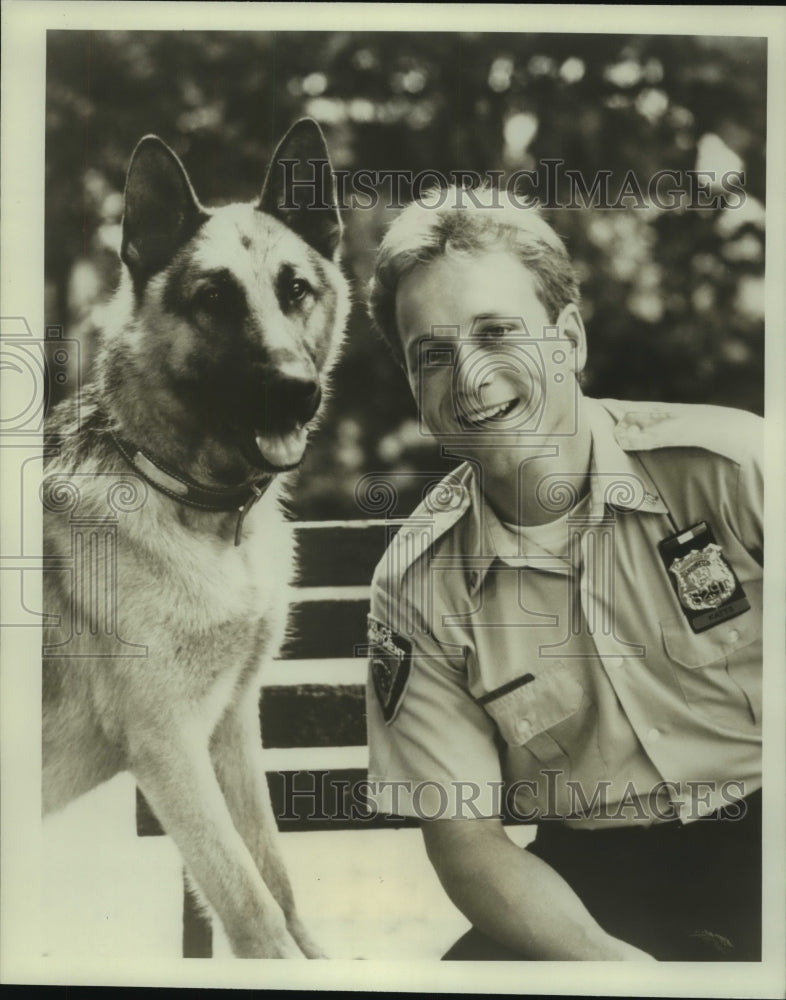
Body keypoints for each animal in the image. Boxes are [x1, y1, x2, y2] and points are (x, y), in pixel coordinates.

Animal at [41, 117, 348, 952]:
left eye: (295, 290)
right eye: (213, 298)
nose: (297, 392)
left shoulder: (229, 730)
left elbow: (279, 882)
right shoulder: (168, 747)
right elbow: (254, 911)